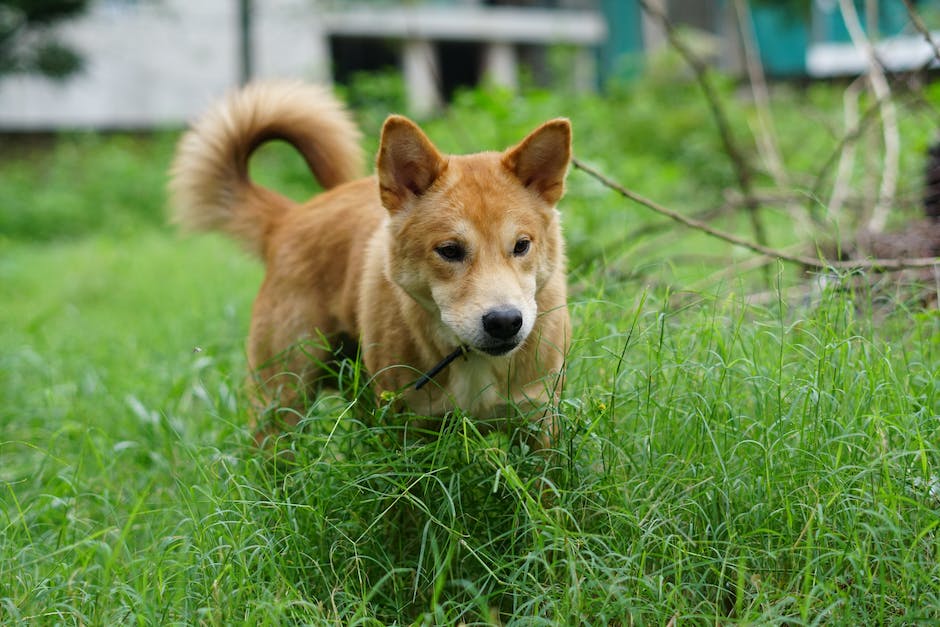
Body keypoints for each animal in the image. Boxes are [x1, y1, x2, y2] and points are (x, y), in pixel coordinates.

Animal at [171, 82, 572, 446]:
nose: (504, 322)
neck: (467, 356)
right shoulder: (405, 432)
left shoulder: (541, 421)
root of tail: (289, 218)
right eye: (449, 250)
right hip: (282, 399)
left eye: (521, 246)